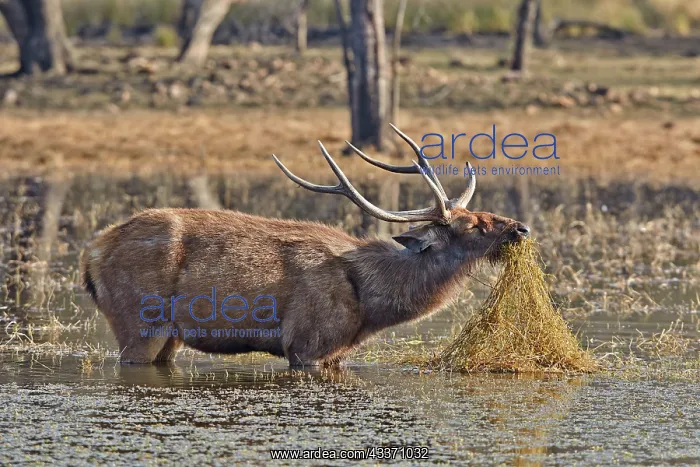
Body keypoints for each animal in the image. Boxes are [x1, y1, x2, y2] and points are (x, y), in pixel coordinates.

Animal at [80, 125, 530, 367]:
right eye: (474, 225)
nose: (521, 229)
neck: (372, 304)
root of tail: (91, 255)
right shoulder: (307, 343)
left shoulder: (337, 352)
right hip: (139, 322)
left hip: (167, 336)